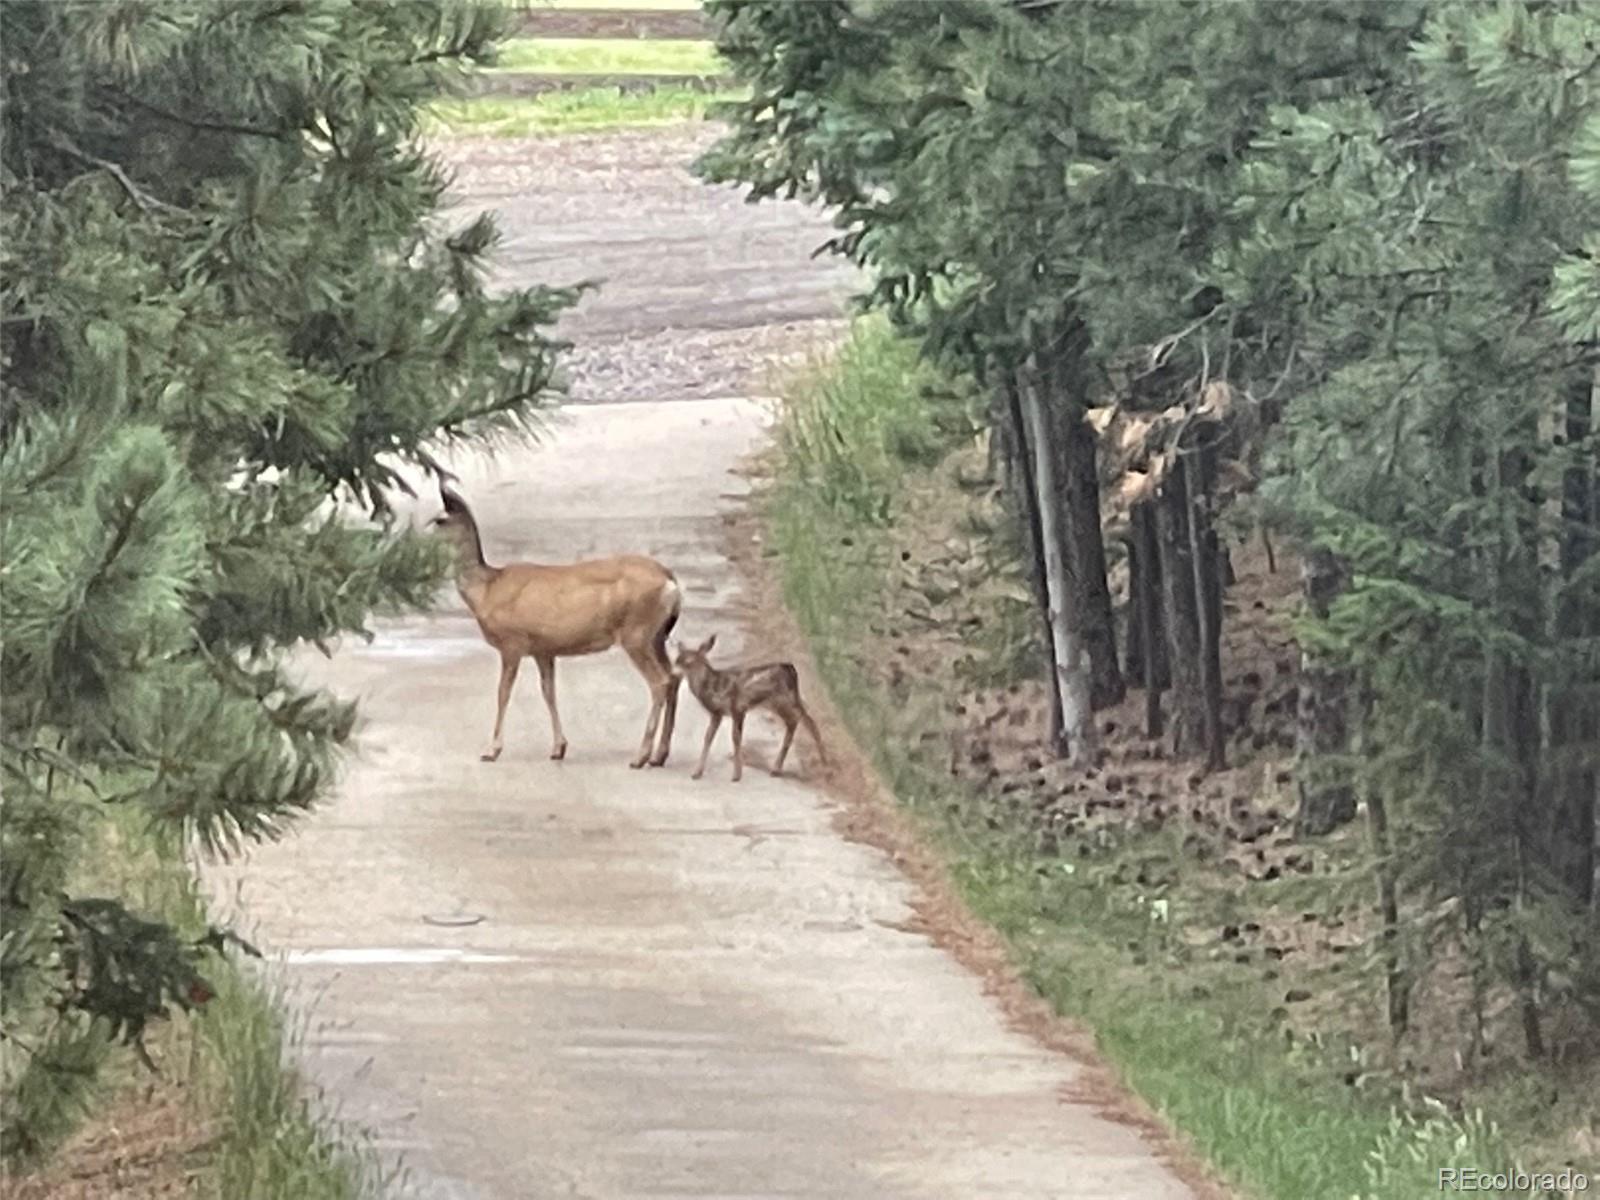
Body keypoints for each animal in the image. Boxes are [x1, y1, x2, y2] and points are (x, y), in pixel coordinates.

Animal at [428, 486, 678, 771]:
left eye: (439, 520)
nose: (418, 542)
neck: (486, 590)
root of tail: (671, 580)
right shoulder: (543, 649)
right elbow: (549, 692)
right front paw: (559, 747)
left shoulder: (512, 642)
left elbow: (503, 693)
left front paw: (492, 750)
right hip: (657, 636)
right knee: (674, 677)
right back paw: (659, 755)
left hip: (636, 633)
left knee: (660, 681)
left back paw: (641, 756)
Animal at [672, 633, 825, 784]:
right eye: (676, 660)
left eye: (688, 661)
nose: (673, 673)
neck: (713, 687)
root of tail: (791, 669)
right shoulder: (717, 713)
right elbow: (708, 737)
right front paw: (697, 773)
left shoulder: (737, 708)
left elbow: (735, 738)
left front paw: (736, 775)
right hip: (778, 703)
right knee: (797, 720)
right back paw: (779, 768)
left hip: (784, 699)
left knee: (806, 720)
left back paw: (821, 761)